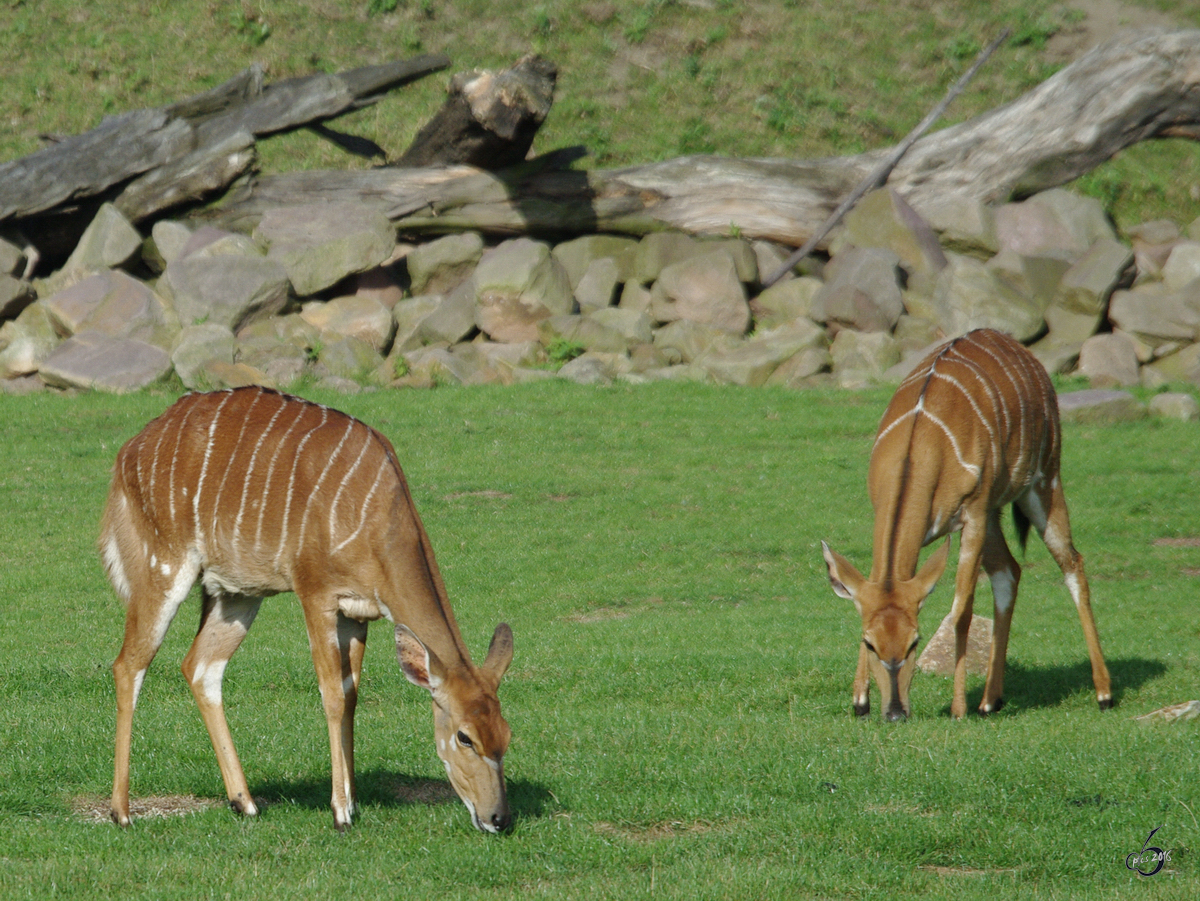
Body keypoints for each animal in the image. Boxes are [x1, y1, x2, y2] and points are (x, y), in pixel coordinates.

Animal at [100, 386, 513, 830]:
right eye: (465, 737)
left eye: (506, 734)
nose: (498, 818)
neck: (378, 514)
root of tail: (129, 450)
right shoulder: (316, 594)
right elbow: (331, 695)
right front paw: (340, 812)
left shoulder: (357, 613)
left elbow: (351, 695)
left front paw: (353, 801)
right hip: (162, 567)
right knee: (129, 664)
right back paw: (121, 812)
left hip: (237, 593)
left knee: (200, 666)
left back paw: (245, 802)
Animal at [820, 328, 1108, 724]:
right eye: (870, 642)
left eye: (915, 641)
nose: (895, 712)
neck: (921, 447)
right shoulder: (891, 514)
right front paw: (859, 700)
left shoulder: (971, 516)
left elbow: (961, 612)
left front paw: (957, 708)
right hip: (995, 513)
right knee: (1009, 571)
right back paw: (990, 700)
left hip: (1043, 483)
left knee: (1071, 563)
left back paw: (1103, 693)